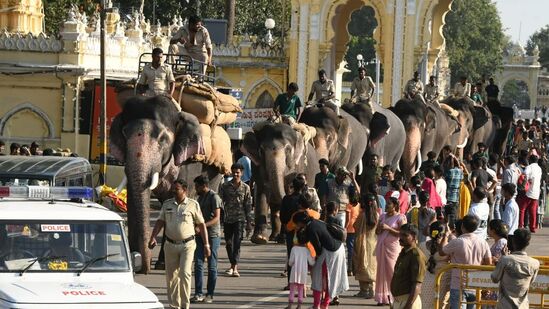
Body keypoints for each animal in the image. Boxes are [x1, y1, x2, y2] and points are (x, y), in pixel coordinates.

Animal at [109, 94, 223, 272]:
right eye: (125, 135)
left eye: (163, 139)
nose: (143, 267)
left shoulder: (189, 163)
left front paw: (162, 264)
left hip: (215, 171)